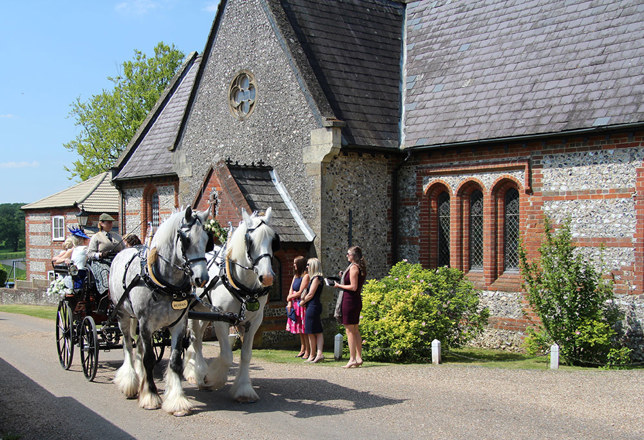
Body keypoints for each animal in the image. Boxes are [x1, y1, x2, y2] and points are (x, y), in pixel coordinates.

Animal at [109, 207, 210, 416]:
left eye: (206, 239)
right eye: (186, 240)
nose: (201, 279)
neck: (165, 283)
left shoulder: (179, 324)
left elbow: (175, 361)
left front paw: (177, 400)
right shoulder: (146, 324)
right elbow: (148, 358)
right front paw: (150, 396)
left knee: (138, 347)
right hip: (123, 315)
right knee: (128, 347)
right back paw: (131, 382)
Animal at [184, 209, 280, 402]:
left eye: (273, 240)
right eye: (250, 240)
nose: (267, 277)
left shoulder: (253, 322)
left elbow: (246, 355)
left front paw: (244, 389)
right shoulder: (221, 319)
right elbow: (227, 356)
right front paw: (211, 378)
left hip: (204, 311)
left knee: (199, 336)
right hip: (191, 310)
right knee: (195, 339)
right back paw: (198, 373)